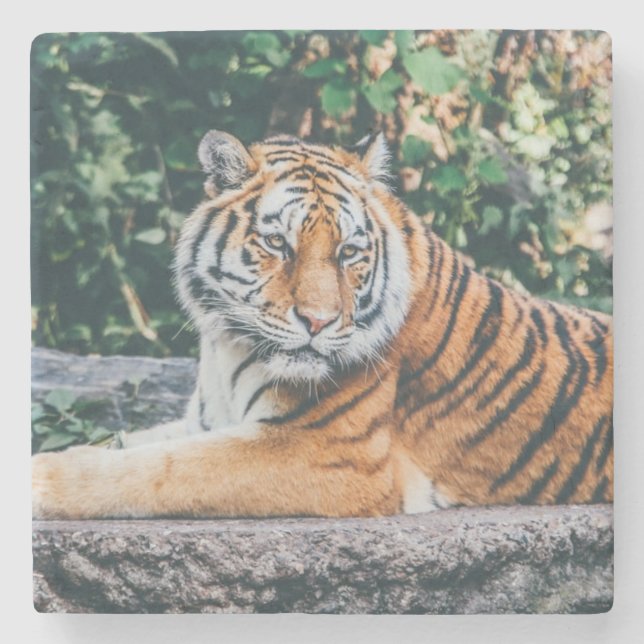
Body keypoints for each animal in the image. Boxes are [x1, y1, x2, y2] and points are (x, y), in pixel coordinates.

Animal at [31, 130, 613, 520]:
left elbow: (161, 469)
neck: (229, 346)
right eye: (277, 243)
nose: (318, 321)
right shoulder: (208, 422)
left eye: (348, 252)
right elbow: (134, 445)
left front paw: (41, 479)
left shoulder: (325, 452)